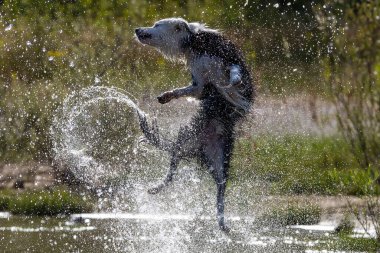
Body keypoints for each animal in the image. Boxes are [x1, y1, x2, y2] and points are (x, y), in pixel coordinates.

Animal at [135, 17, 254, 231]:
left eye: (157, 25)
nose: (137, 29)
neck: (193, 43)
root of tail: (201, 146)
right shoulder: (199, 84)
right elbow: (186, 90)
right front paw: (166, 96)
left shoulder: (230, 59)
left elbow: (234, 73)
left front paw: (233, 82)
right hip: (183, 142)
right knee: (171, 173)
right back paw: (155, 188)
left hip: (221, 159)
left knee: (221, 192)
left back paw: (223, 223)